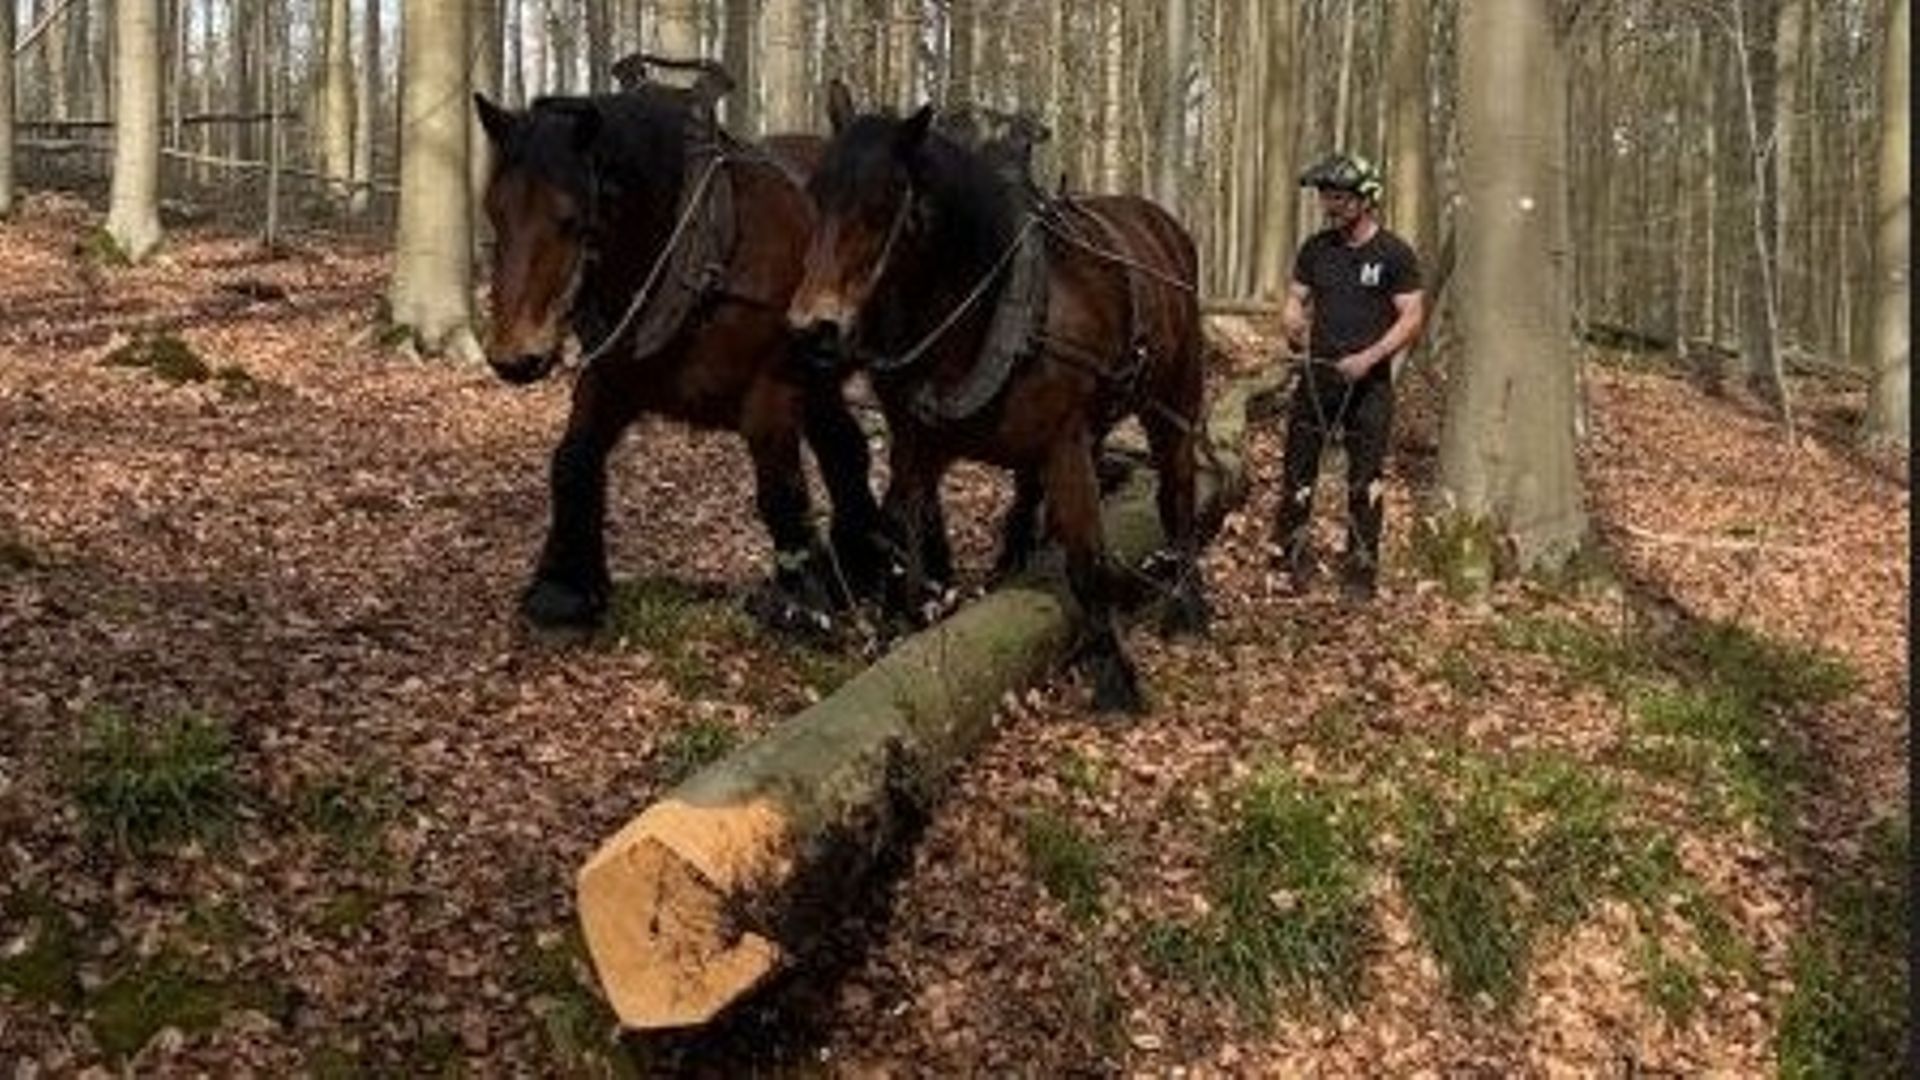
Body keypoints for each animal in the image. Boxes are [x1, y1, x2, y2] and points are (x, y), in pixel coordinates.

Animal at [472, 88, 883, 634]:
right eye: (495, 211)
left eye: (570, 218)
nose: (515, 356)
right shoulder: (611, 380)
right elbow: (573, 462)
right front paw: (564, 589)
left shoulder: (773, 390)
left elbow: (781, 490)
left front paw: (800, 604)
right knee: (847, 452)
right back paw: (859, 568)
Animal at [787, 82, 1205, 707]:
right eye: (817, 195)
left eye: (883, 204)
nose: (814, 327)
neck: (989, 313)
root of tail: (1165, 226)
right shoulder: (918, 447)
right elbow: (901, 540)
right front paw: (891, 634)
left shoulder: (1065, 446)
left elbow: (1089, 560)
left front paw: (1114, 675)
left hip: (1173, 403)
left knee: (1177, 492)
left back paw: (1188, 598)